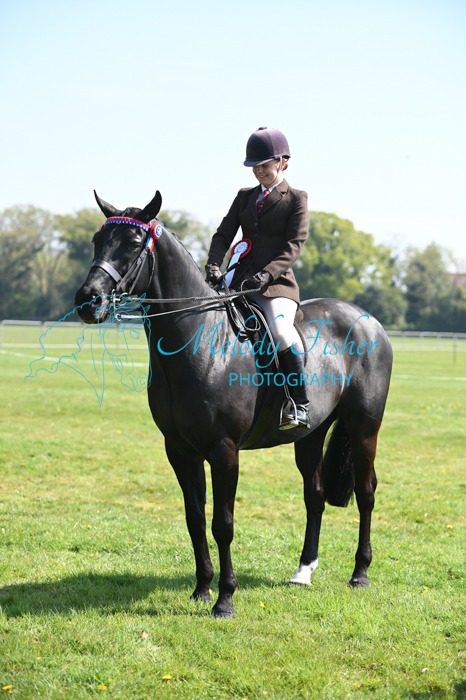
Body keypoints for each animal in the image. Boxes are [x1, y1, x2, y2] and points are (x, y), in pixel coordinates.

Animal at [75, 190, 393, 618]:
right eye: (97, 240)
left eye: (133, 244)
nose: (87, 301)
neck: (199, 339)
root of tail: (368, 319)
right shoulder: (180, 450)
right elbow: (195, 518)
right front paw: (201, 589)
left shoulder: (224, 450)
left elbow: (222, 524)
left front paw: (224, 598)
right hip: (311, 435)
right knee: (315, 494)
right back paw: (303, 570)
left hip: (364, 428)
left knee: (366, 491)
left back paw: (360, 573)